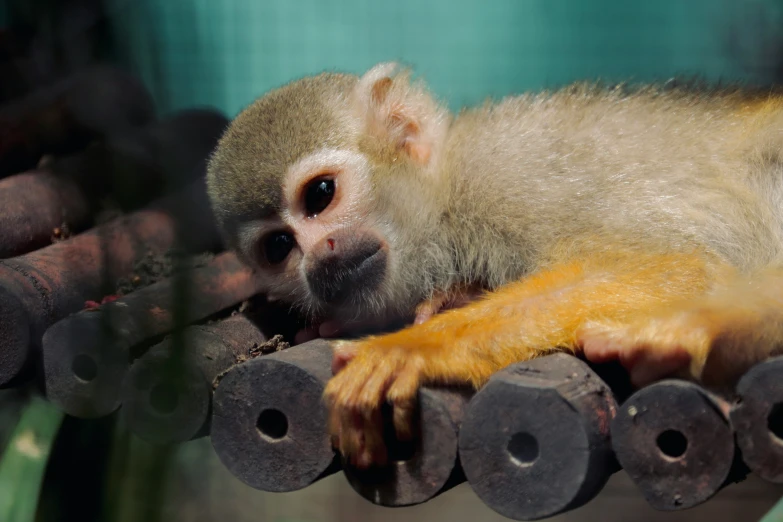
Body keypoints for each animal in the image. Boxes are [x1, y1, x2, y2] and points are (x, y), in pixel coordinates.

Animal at [207, 62, 783, 468]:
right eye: (279, 246)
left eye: (321, 195)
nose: (319, 256)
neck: (445, 197)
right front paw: (447, 299)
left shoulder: (513, 177)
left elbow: (677, 262)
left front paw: (411, 348)